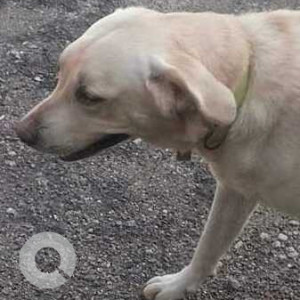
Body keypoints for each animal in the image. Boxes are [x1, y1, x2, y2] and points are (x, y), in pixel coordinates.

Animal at [15, 7, 300, 300]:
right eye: (60, 72)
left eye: (90, 97)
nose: (20, 131)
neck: (248, 71)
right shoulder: (235, 190)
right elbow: (208, 247)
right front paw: (178, 285)